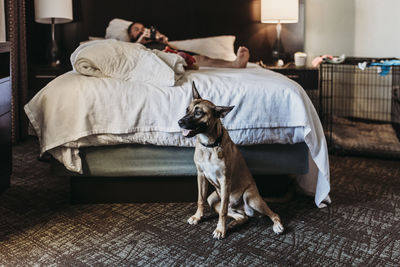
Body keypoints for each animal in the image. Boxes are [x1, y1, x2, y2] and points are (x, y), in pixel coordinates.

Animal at [178, 82, 284, 241]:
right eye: (187, 110)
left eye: (199, 113)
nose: (179, 122)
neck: (210, 145)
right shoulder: (201, 176)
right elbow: (200, 200)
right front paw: (197, 217)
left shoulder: (225, 180)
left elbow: (222, 211)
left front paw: (220, 229)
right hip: (213, 199)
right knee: (241, 216)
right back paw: (235, 223)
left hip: (251, 198)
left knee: (273, 214)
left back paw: (277, 225)